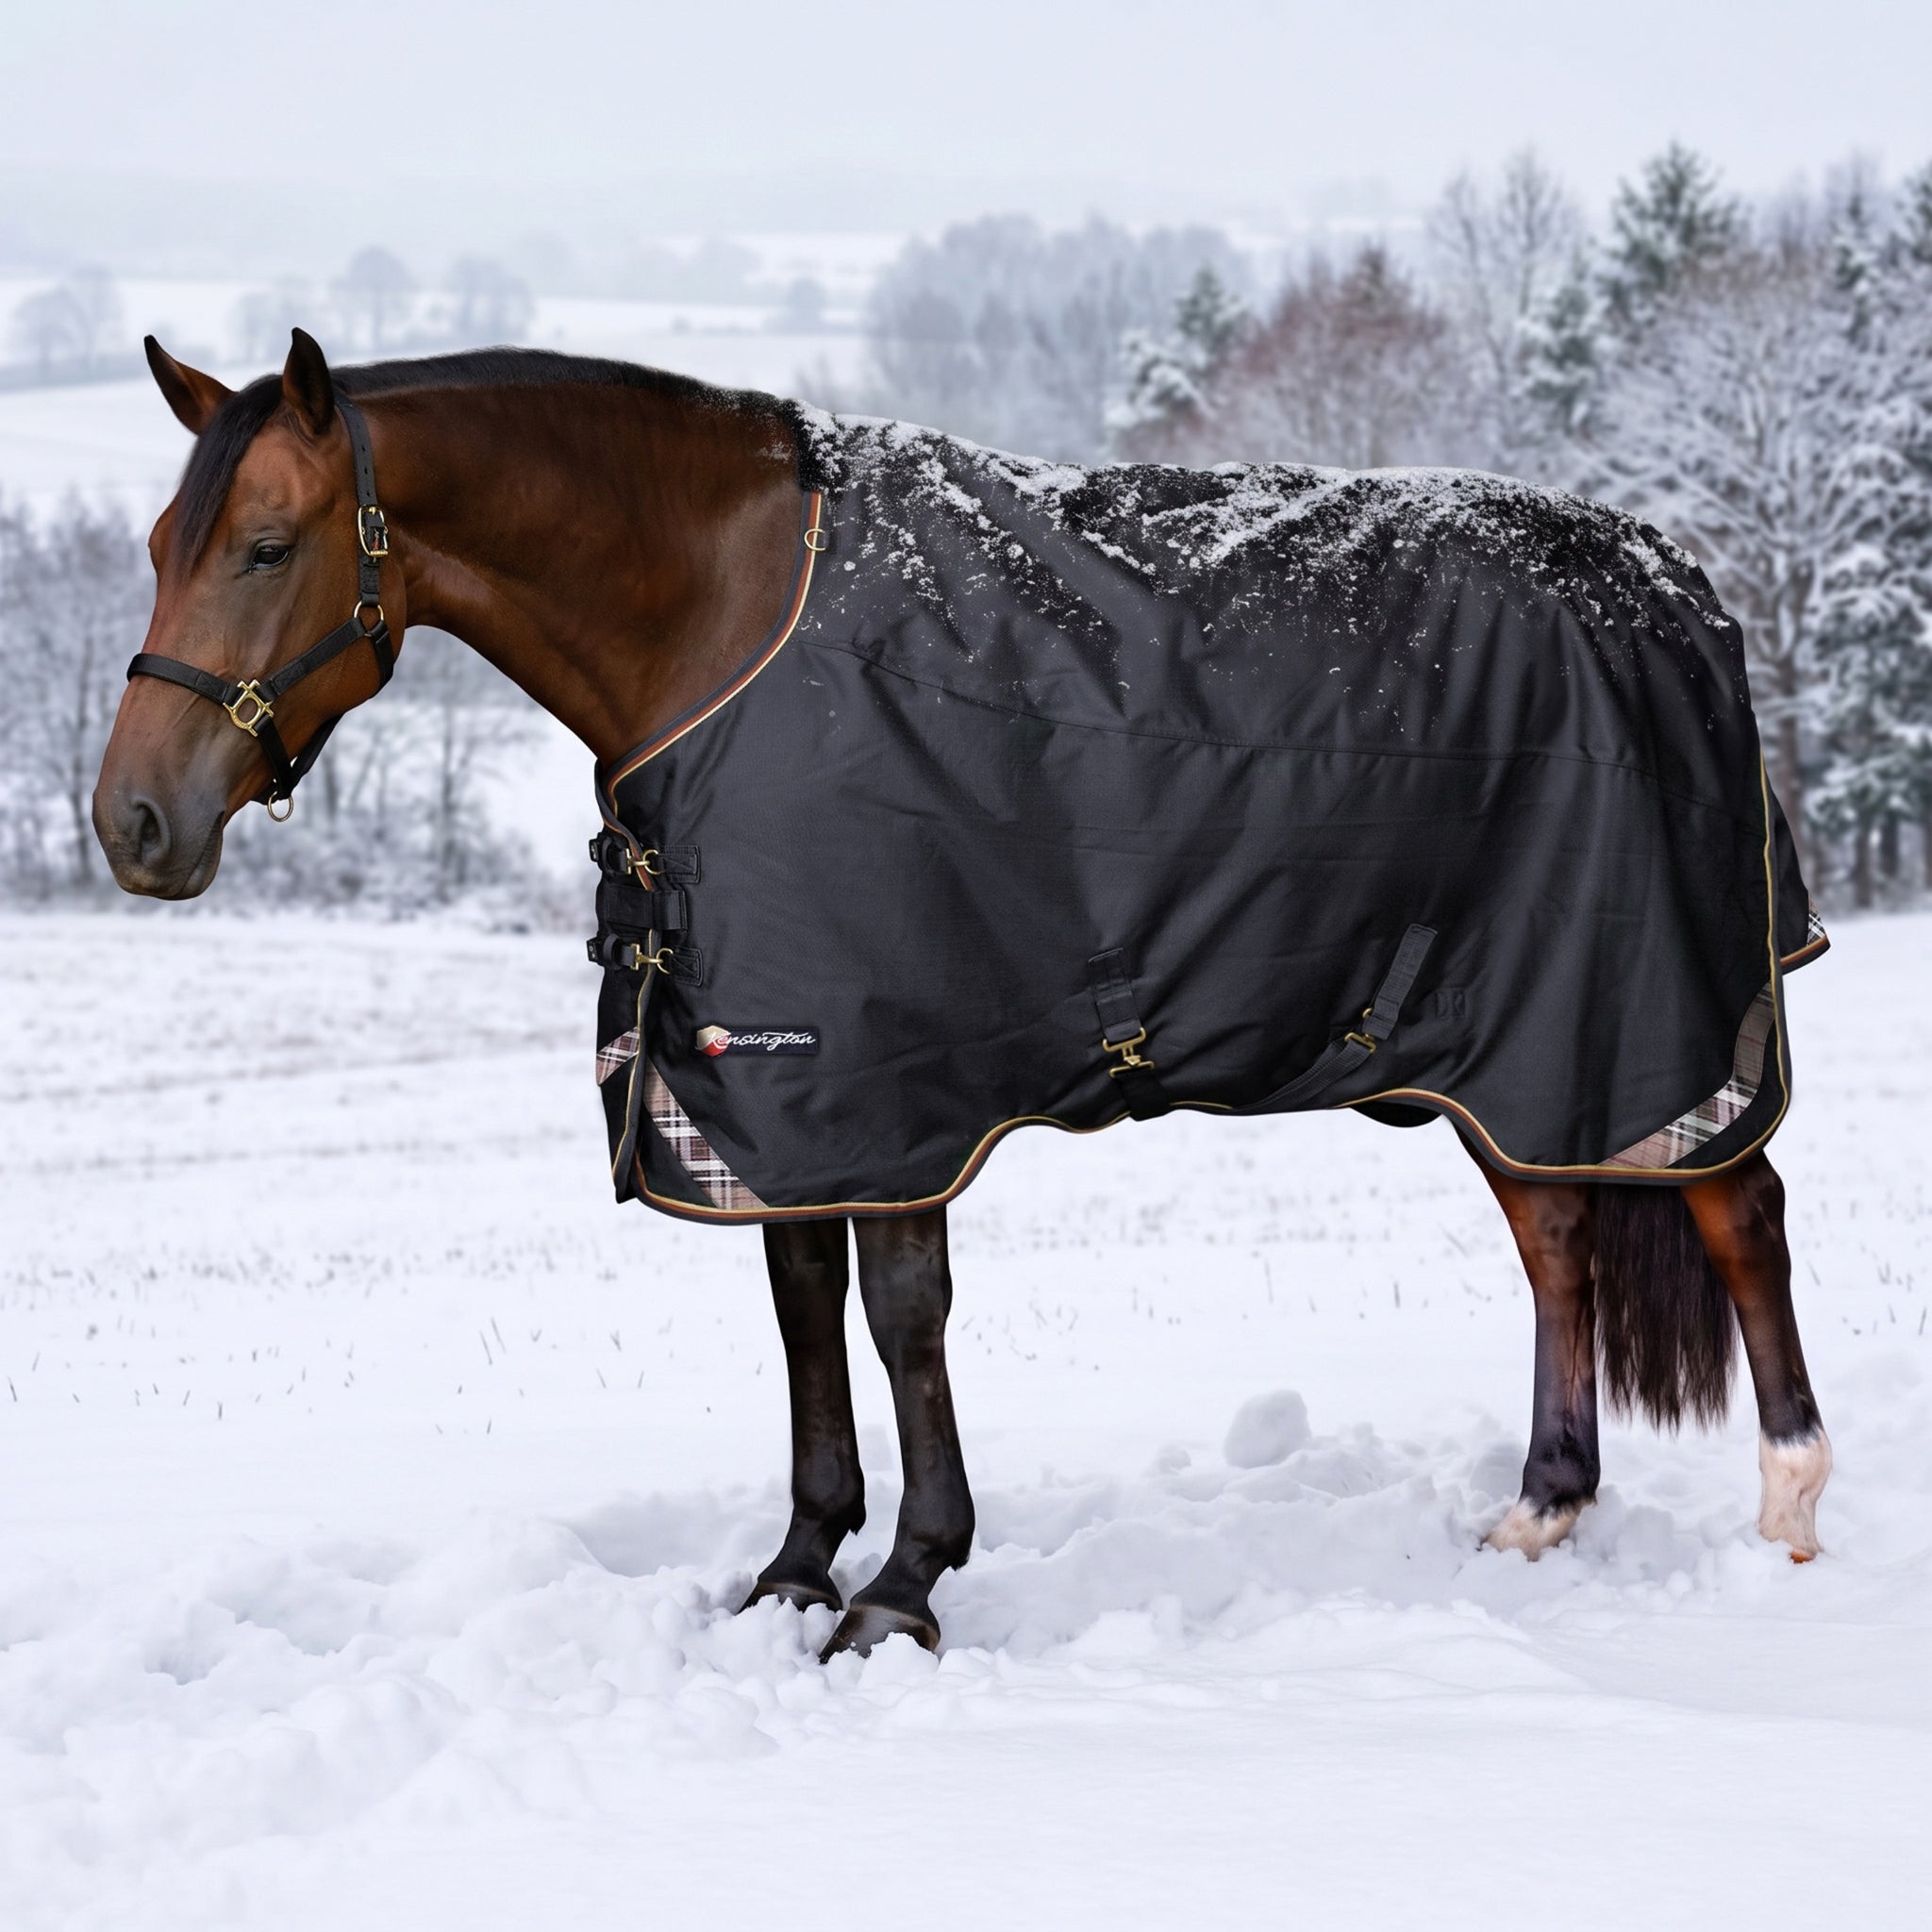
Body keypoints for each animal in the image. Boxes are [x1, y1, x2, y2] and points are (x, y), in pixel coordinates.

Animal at [93, 329, 1832, 1658]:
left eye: (265, 546)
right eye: (160, 550)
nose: (131, 824)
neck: (722, 618)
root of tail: (1676, 586)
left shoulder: (896, 1078)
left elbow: (899, 1316)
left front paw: (903, 1588)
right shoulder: (768, 1091)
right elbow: (802, 1314)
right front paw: (796, 1568)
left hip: (1643, 1009)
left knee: (1737, 1209)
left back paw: (1790, 1512)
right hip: (1502, 1044)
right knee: (1558, 1235)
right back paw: (1540, 1509)